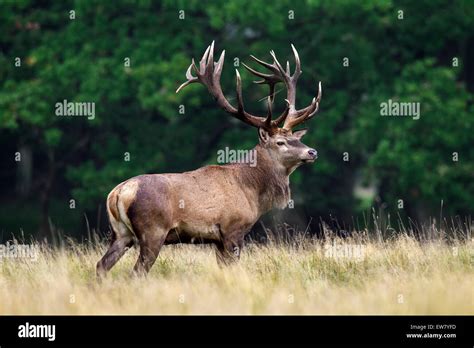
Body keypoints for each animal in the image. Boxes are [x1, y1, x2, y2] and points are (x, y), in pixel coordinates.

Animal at [95, 41, 322, 278]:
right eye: (280, 142)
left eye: (296, 138)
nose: (312, 152)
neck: (251, 191)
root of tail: (118, 193)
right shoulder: (233, 229)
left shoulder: (217, 240)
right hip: (153, 231)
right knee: (137, 271)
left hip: (121, 233)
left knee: (101, 265)